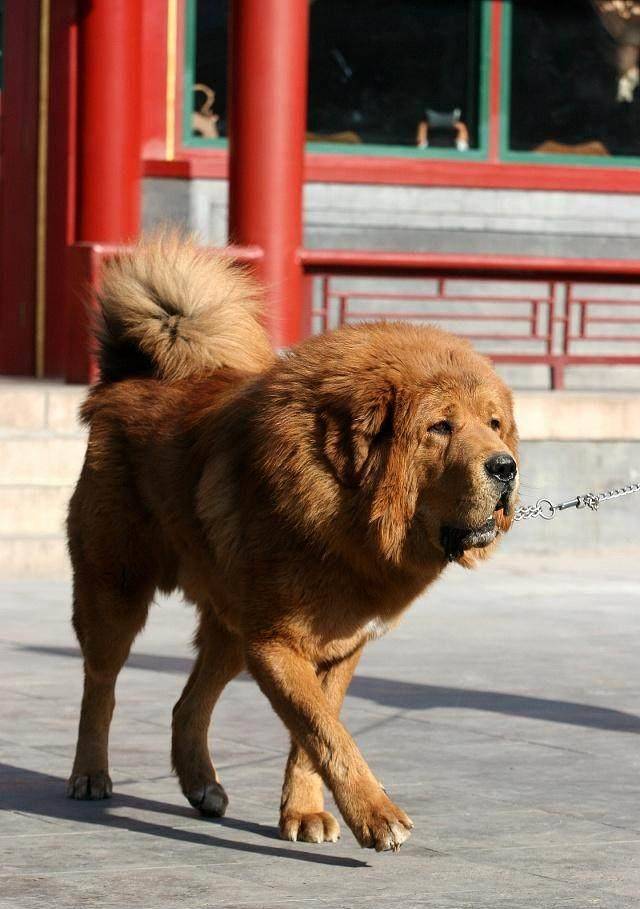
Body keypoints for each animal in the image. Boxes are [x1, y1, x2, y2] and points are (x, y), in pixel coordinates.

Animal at [67, 234, 520, 852]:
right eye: (440, 427)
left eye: (494, 423)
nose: (506, 466)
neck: (347, 515)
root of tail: (129, 380)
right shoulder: (277, 645)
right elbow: (326, 732)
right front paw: (376, 814)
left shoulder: (339, 646)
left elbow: (314, 736)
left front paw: (304, 813)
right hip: (115, 592)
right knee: (101, 685)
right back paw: (90, 774)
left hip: (231, 627)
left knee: (187, 704)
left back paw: (201, 784)